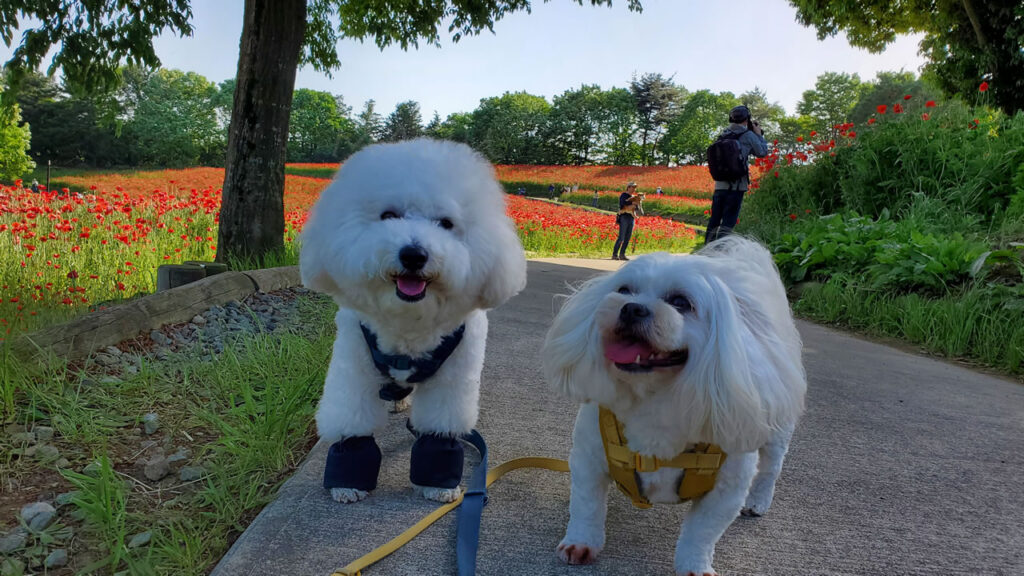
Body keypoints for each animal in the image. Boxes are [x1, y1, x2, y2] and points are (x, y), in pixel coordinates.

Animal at [294, 139, 520, 502]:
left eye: (446, 223)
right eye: (388, 215)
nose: (414, 255)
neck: (408, 325)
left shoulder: (453, 377)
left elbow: (440, 426)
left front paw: (437, 481)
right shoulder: (353, 364)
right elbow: (352, 421)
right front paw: (348, 478)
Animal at [544, 235, 806, 569]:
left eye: (681, 302)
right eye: (624, 290)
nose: (631, 308)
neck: (656, 398)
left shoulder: (727, 489)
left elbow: (702, 533)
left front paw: (694, 566)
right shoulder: (589, 458)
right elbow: (587, 505)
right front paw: (581, 542)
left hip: (775, 433)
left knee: (770, 469)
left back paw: (759, 500)